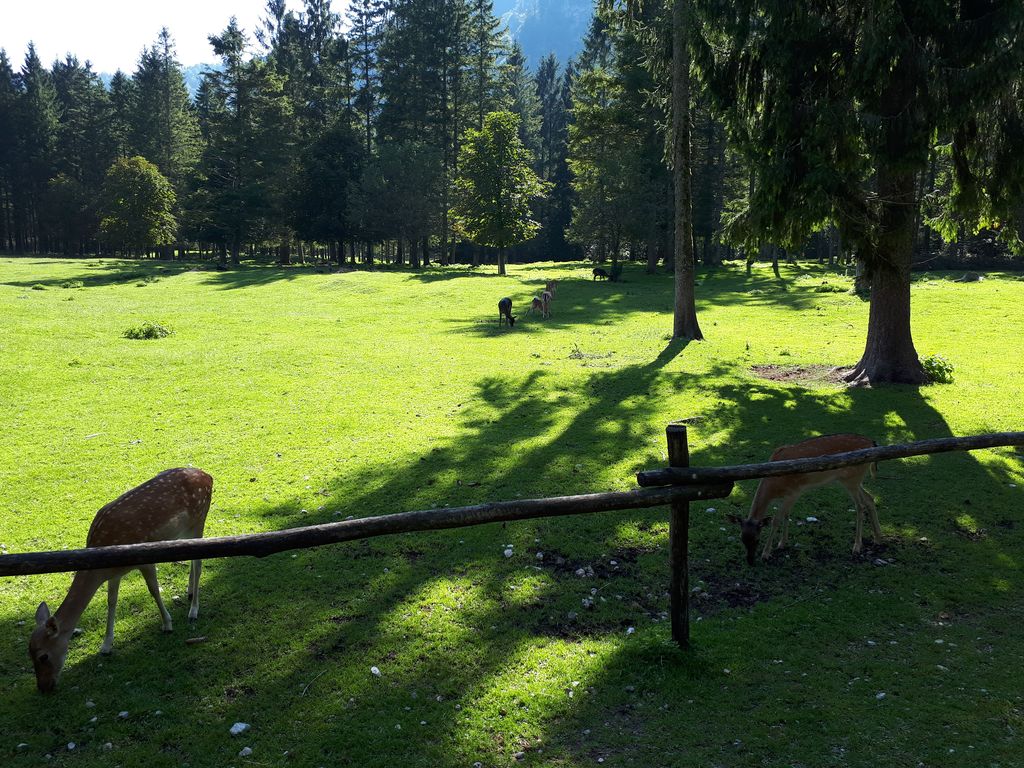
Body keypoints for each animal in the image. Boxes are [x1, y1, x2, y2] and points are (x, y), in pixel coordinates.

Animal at [29, 466, 211, 696]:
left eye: (43, 656)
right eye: (29, 654)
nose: (43, 687)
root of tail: (208, 476)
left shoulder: (144, 559)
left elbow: (153, 590)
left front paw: (167, 624)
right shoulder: (113, 574)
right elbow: (111, 602)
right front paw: (106, 646)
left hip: (199, 520)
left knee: (199, 563)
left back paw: (193, 610)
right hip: (182, 531)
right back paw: (189, 592)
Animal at [724, 436, 884, 569]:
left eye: (757, 540)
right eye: (742, 539)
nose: (750, 561)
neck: (774, 486)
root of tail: (872, 443)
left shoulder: (795, 491)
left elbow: (776, 519)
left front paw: (766, 553)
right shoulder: (789, 495)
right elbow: (787, 514)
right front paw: (782, 543)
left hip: (852, 478)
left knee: (860, 505)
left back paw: (857, 546)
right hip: (854, 480)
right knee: (870, 499)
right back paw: (878, 538)